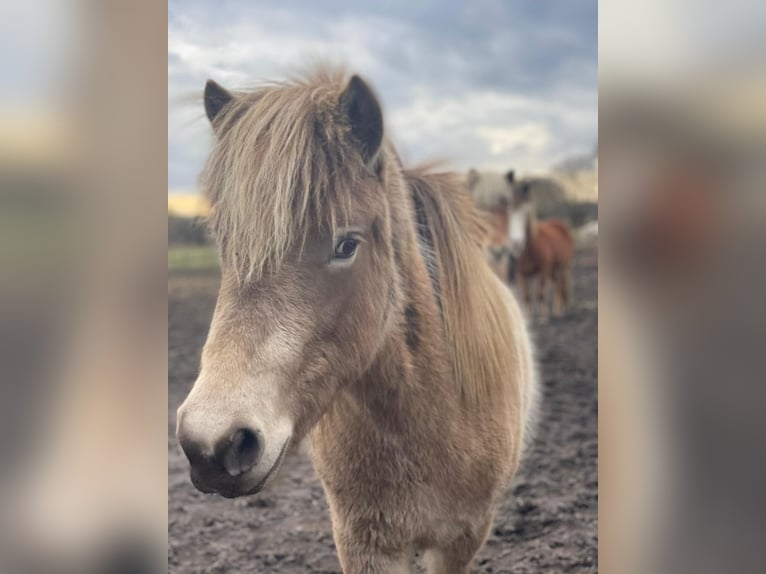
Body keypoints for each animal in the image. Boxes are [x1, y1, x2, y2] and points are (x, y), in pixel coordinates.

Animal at [505, 172, 574, 321]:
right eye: (508, 213)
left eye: (526, 213)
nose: (516, 244)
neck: (530, 250)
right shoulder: (521, 274)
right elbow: (526, 297)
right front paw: (528, 317)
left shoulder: (543, 271)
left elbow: (540, 294)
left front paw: (543, 318)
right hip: (555, 269)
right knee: (557, 285)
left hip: (563, 267)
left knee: (559, 287)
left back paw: (558, 311)